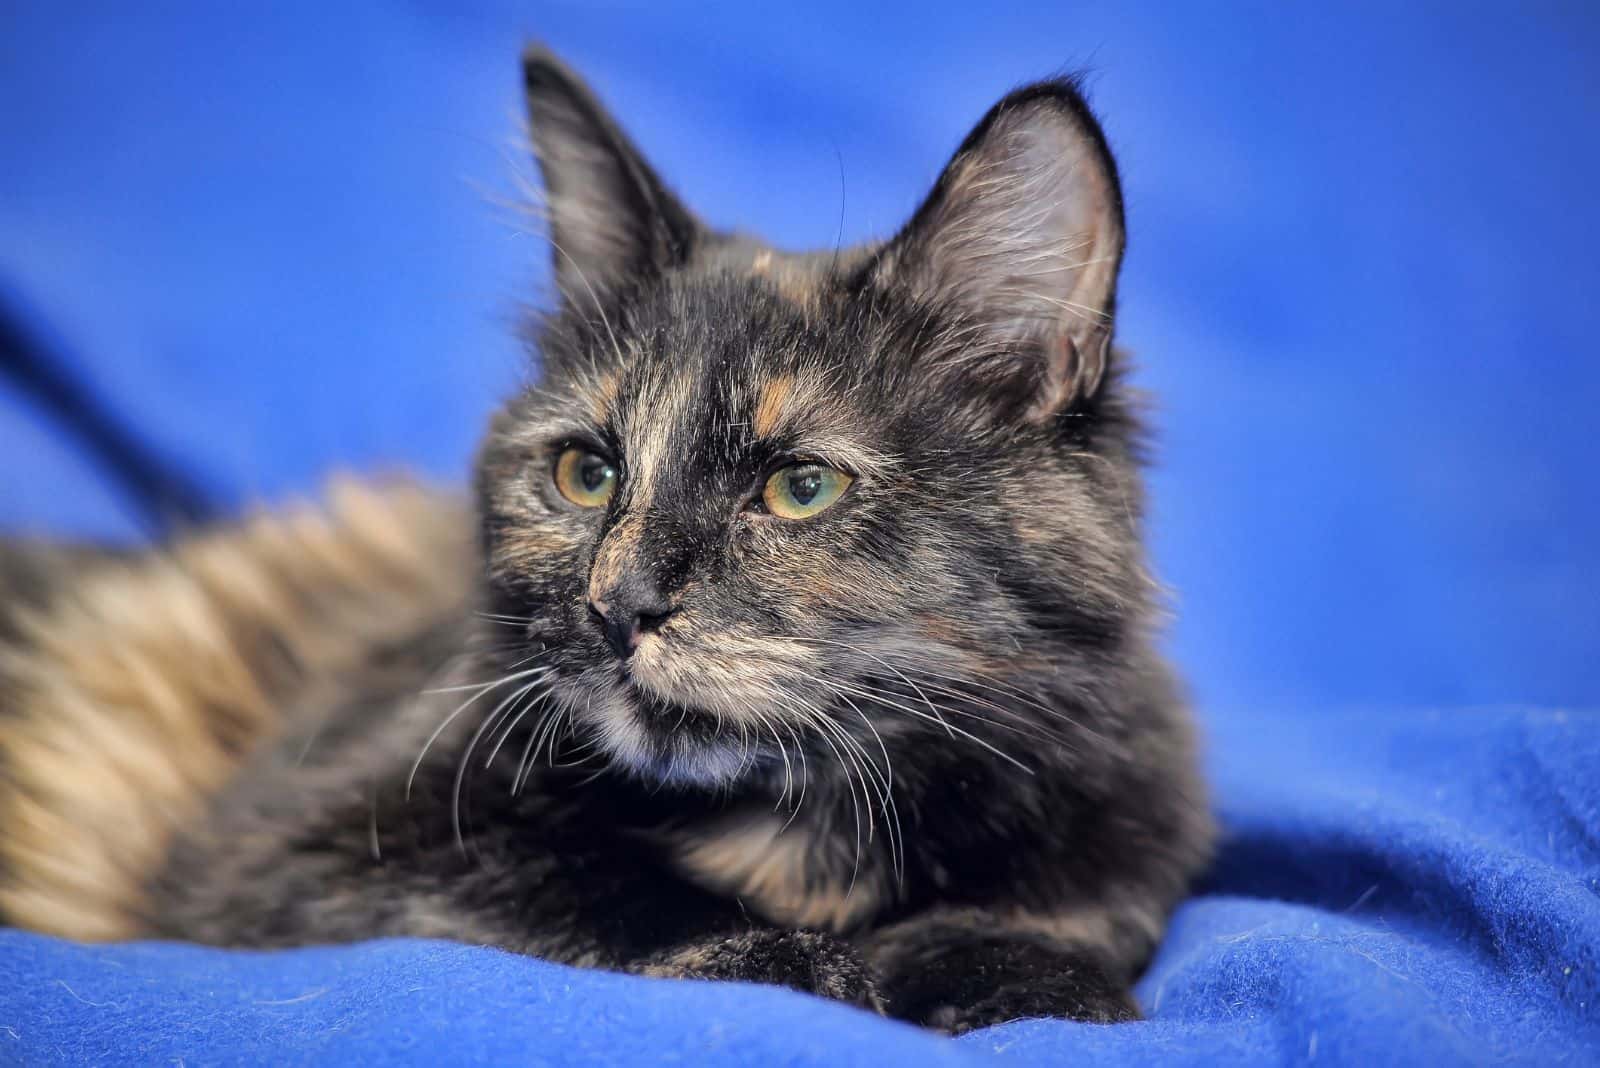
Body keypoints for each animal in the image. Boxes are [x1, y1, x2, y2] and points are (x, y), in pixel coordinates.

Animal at [0, 45, 1203, 1029]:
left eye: (800, 488)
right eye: (588, 474)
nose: (618, 604)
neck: (797, 823)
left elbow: (1047, 939)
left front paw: (1011, 974)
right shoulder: (302, 842)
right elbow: (606, 893)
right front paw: (802, 962)